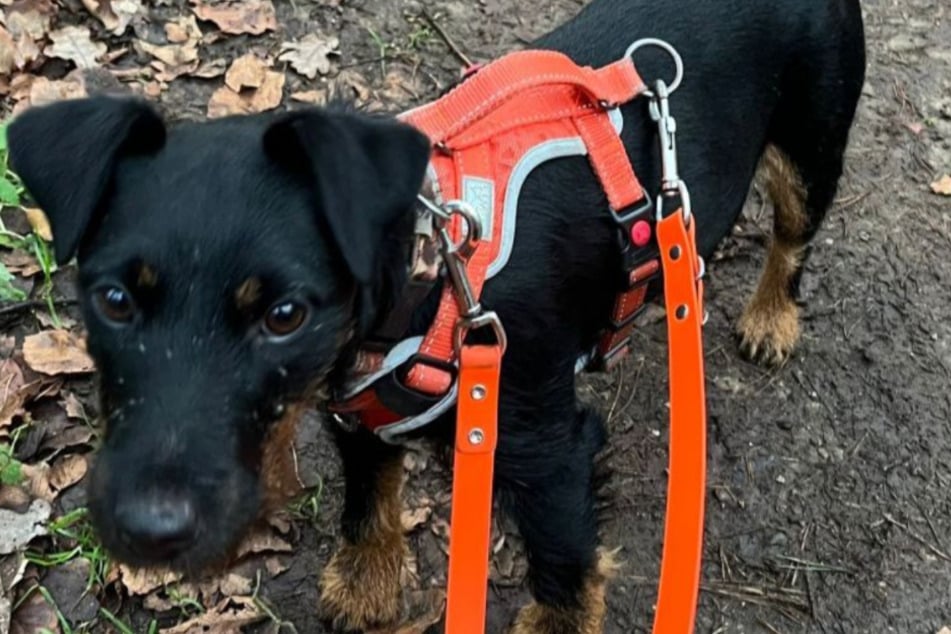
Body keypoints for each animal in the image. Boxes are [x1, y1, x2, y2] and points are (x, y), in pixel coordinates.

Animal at [7, 1, 868, 628]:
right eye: (114, 300)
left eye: (284, 314)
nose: (149, 531)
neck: (436, 269)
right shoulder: (358, 414)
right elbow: (366, 505)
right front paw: (364, 591)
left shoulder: (551, 454)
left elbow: (563, 573)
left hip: (811, 145)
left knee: (792, 237)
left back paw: (769, 318)